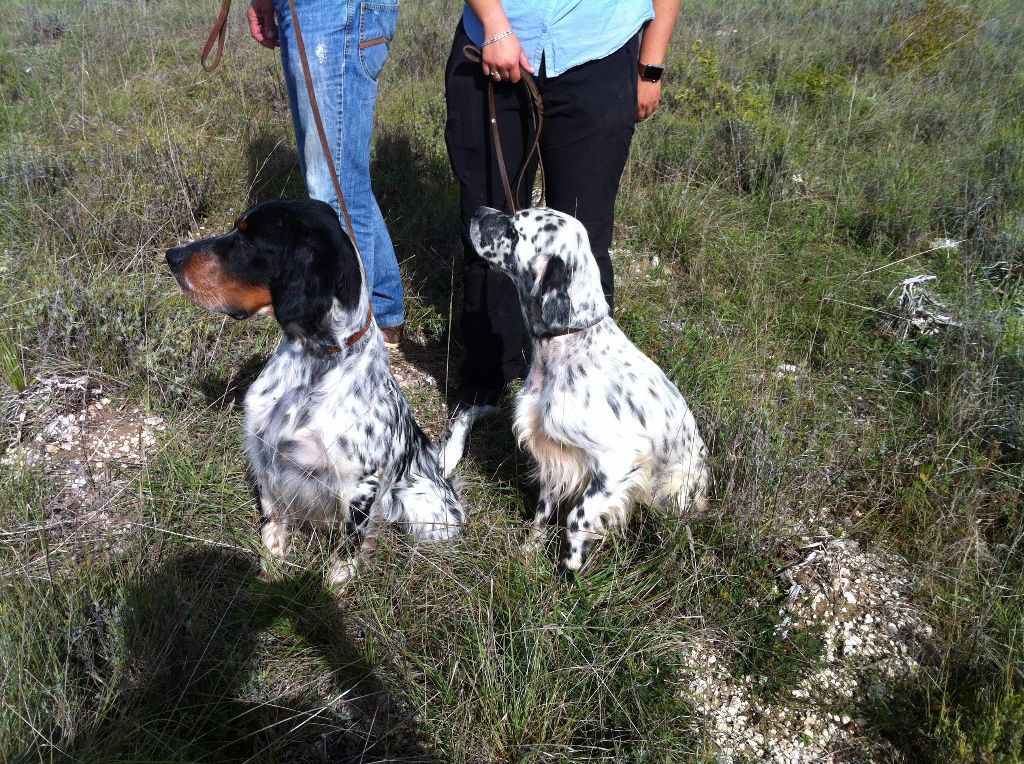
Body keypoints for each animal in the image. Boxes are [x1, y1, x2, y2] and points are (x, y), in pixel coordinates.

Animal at [166, 196, 464, 581]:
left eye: (247, 240)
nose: (171, 255)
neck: (312, 361)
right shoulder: (267, 459)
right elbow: (272, 526)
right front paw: (270, 575)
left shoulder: (361, 485)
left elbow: (348, 549)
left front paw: (334, 586)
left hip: (429, 517)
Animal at [452, 205, 708, 569]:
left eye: (515, 229)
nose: (476, 210)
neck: (566, 341)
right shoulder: (552, 452)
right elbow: (543, 509)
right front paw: (530, 551)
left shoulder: (618, 460)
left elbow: (576, 519)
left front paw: (569, 571)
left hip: (675, 487)